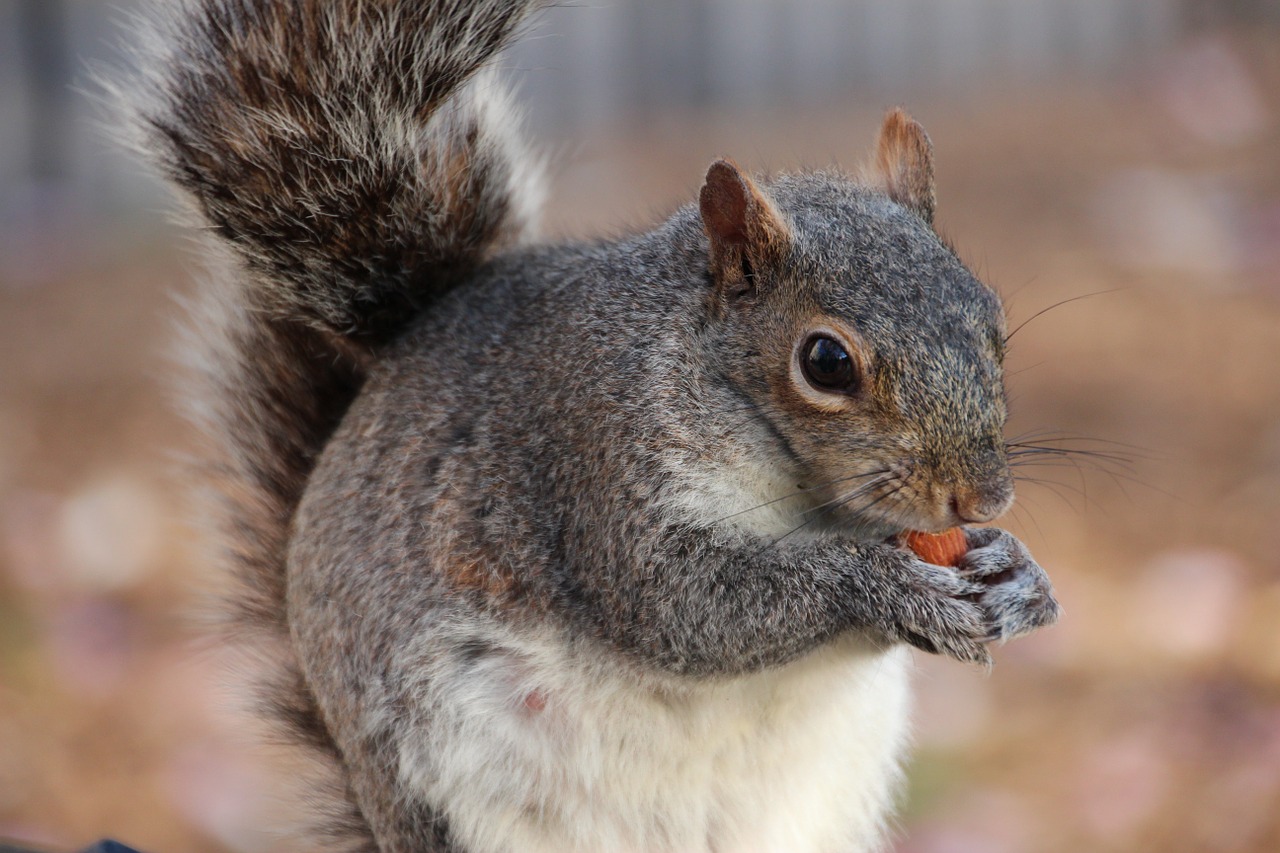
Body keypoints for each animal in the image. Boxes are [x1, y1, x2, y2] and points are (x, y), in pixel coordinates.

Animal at [122, 1, 1059, 850]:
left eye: (992, 319)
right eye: (825, 362)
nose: (983, 497)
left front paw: (1018, 576)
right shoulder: (599, 461)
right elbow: (685, 602)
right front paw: (885, 583)